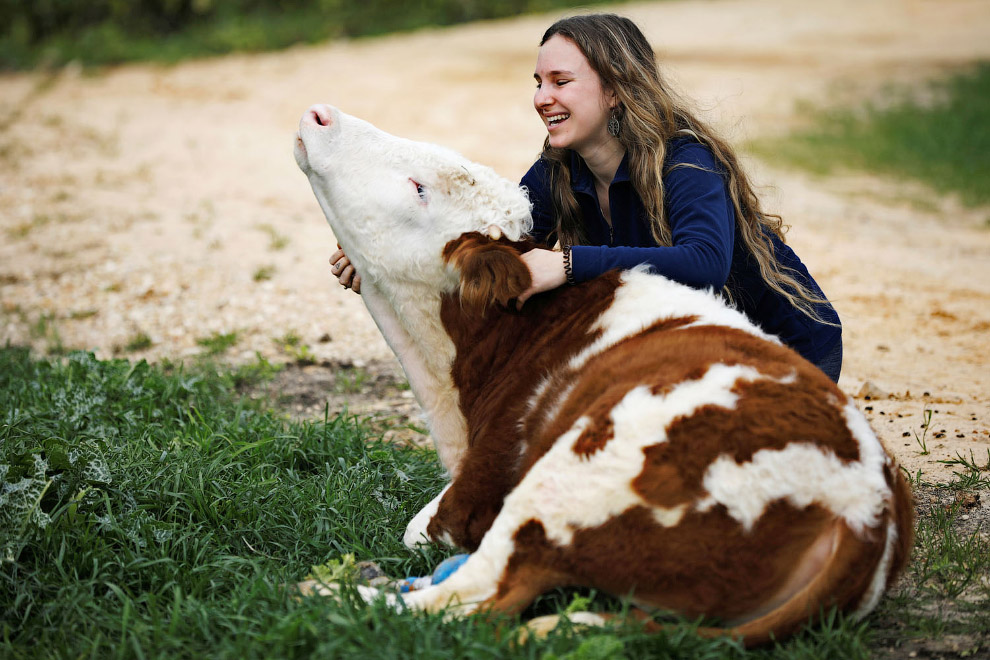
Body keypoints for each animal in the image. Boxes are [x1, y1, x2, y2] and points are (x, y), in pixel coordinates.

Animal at [292, 103, 914, 646]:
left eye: (419, 187)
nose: (320, 114)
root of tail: (868, 506)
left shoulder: (481, 484)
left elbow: (425, 529)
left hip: (575, 475)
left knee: (476, 595)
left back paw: (330, 590)